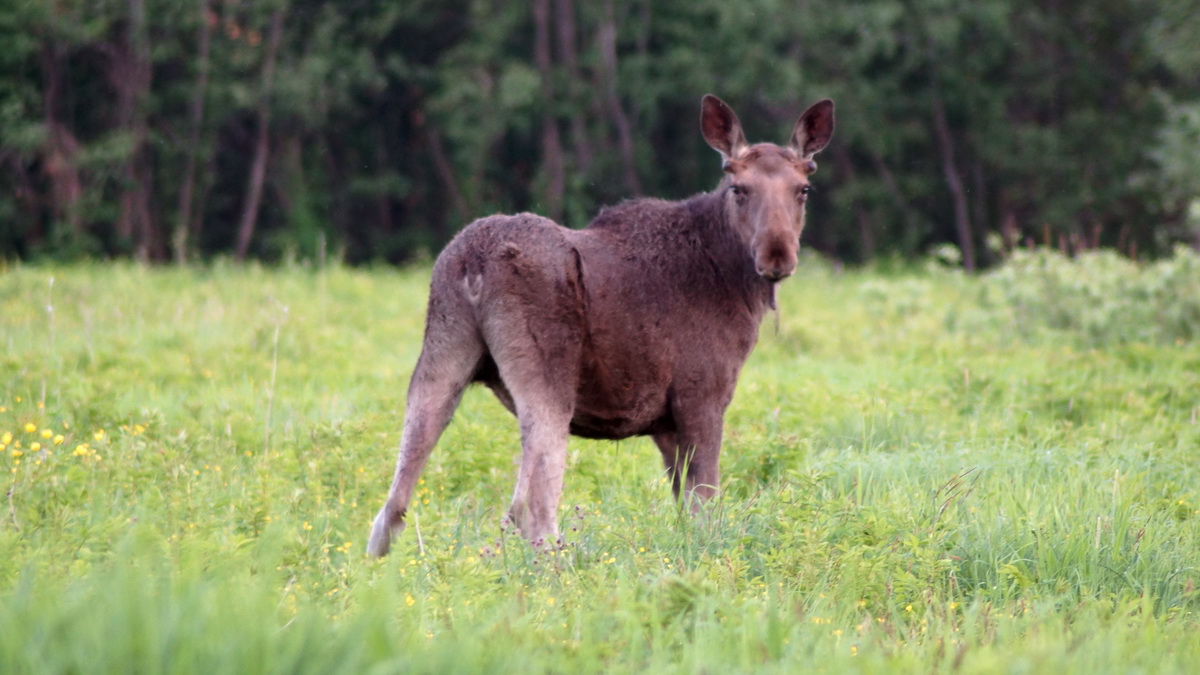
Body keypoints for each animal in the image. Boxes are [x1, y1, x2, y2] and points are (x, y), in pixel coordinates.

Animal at [364, 94, 835, 557]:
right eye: (738, 188)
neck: (734, 281)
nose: (777, 255)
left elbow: (684, 506)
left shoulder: (664, 424)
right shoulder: (702, 395)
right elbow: (705, 507)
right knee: (529, 506)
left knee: (391, 507)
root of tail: (472, 264)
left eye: (803, 189)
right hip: (548, 373)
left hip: (441, 354)